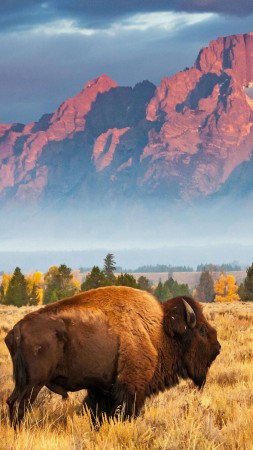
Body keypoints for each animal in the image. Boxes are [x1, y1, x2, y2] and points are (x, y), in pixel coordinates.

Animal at [4, 286, 220, 428]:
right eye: (201, 330)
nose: (218, 347)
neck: (159, 330)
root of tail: (16, 330)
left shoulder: (102, 389)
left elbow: (97, 413)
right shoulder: (131, 388)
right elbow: (127, 412)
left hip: (23, 383)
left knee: (11, 402)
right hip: (33, 384)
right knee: (20, 405)